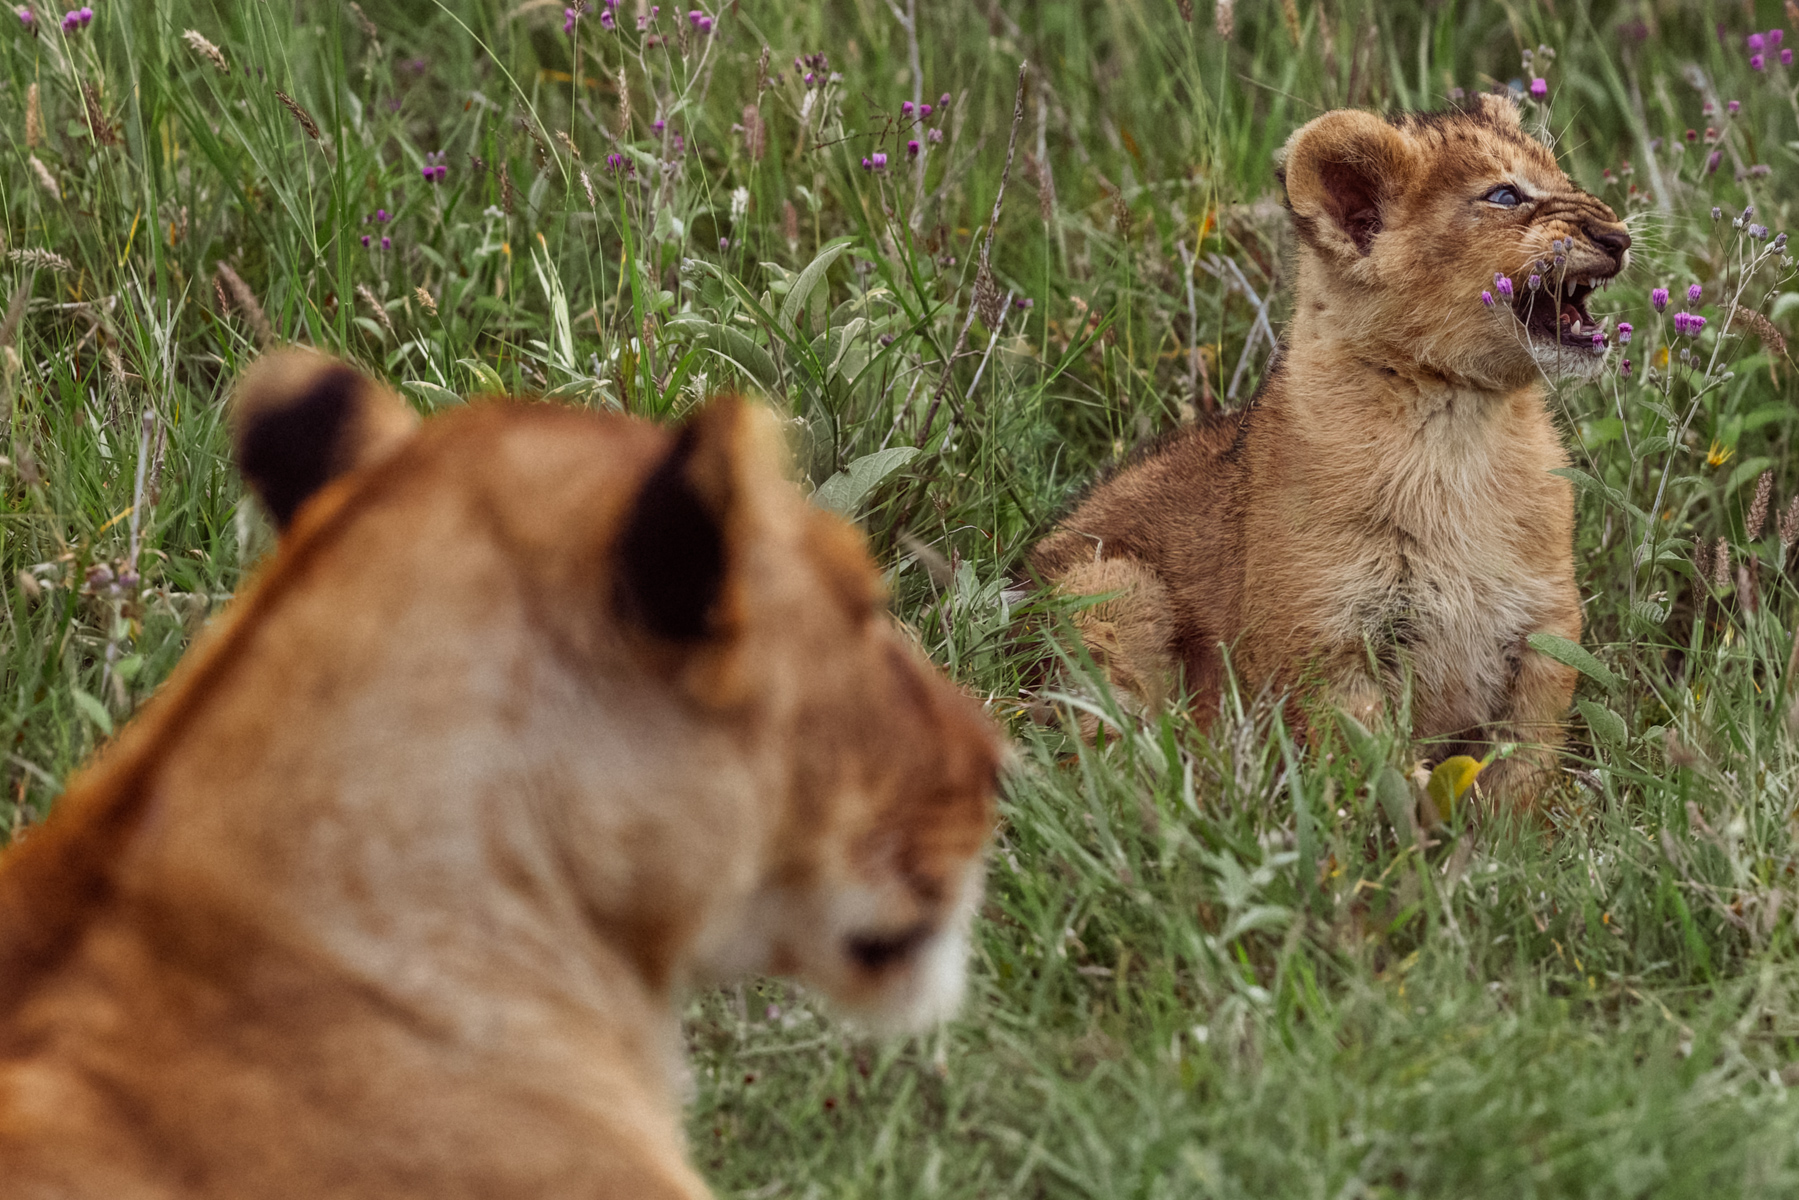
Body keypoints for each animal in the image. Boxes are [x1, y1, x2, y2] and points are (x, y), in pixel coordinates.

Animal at [1032, 95, 1629, 805]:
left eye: (1561, 176)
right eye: (1505, 194)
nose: (1620, 238)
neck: (1459, 426)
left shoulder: (1547, 626)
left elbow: (1523, 764)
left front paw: (1511, 831)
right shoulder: (1326, 646)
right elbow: (1376, 771)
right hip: (1109, 584)